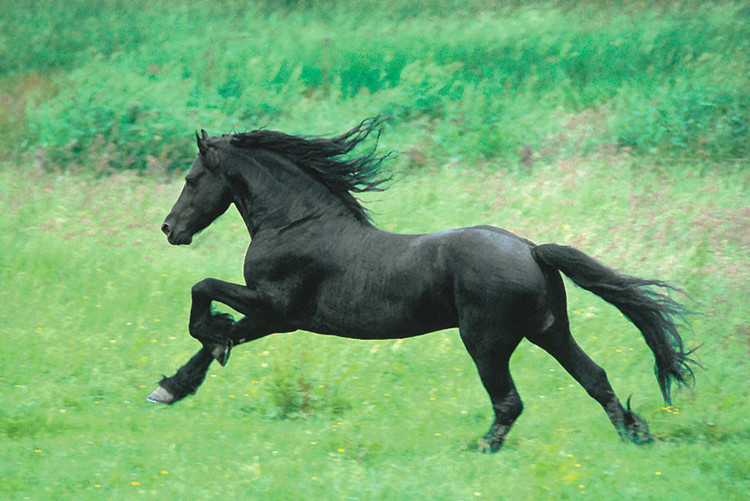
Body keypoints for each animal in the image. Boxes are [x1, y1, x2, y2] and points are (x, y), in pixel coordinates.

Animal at [148, 118, 696, 452]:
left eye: (193, 178)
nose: (170, 229)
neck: (295, 223)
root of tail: (530, 249)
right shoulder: (278, 319)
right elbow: (219, 340)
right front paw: (171, 388)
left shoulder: (276, 305)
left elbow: (203, 292)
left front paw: (208, 332)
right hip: (549, 331)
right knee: (595, 378)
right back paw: (636, 435)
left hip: (486, 341)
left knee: (510, 402)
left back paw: (483, 449)